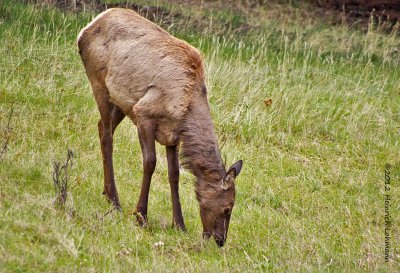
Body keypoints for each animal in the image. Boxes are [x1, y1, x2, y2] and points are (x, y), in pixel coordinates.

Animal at [77, 8, 242, 246]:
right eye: (228, 208)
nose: (220, 241)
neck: (185, 107)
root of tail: (86, 29)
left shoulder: (172, 135)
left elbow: (175, 174)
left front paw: (179, 224)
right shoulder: (143, 113)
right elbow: (150, 163)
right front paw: (141, 216)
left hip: (121, 102)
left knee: (101, 127)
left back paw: (107, 193)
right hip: (100, 84)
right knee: (107, 136)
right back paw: (116, 200)